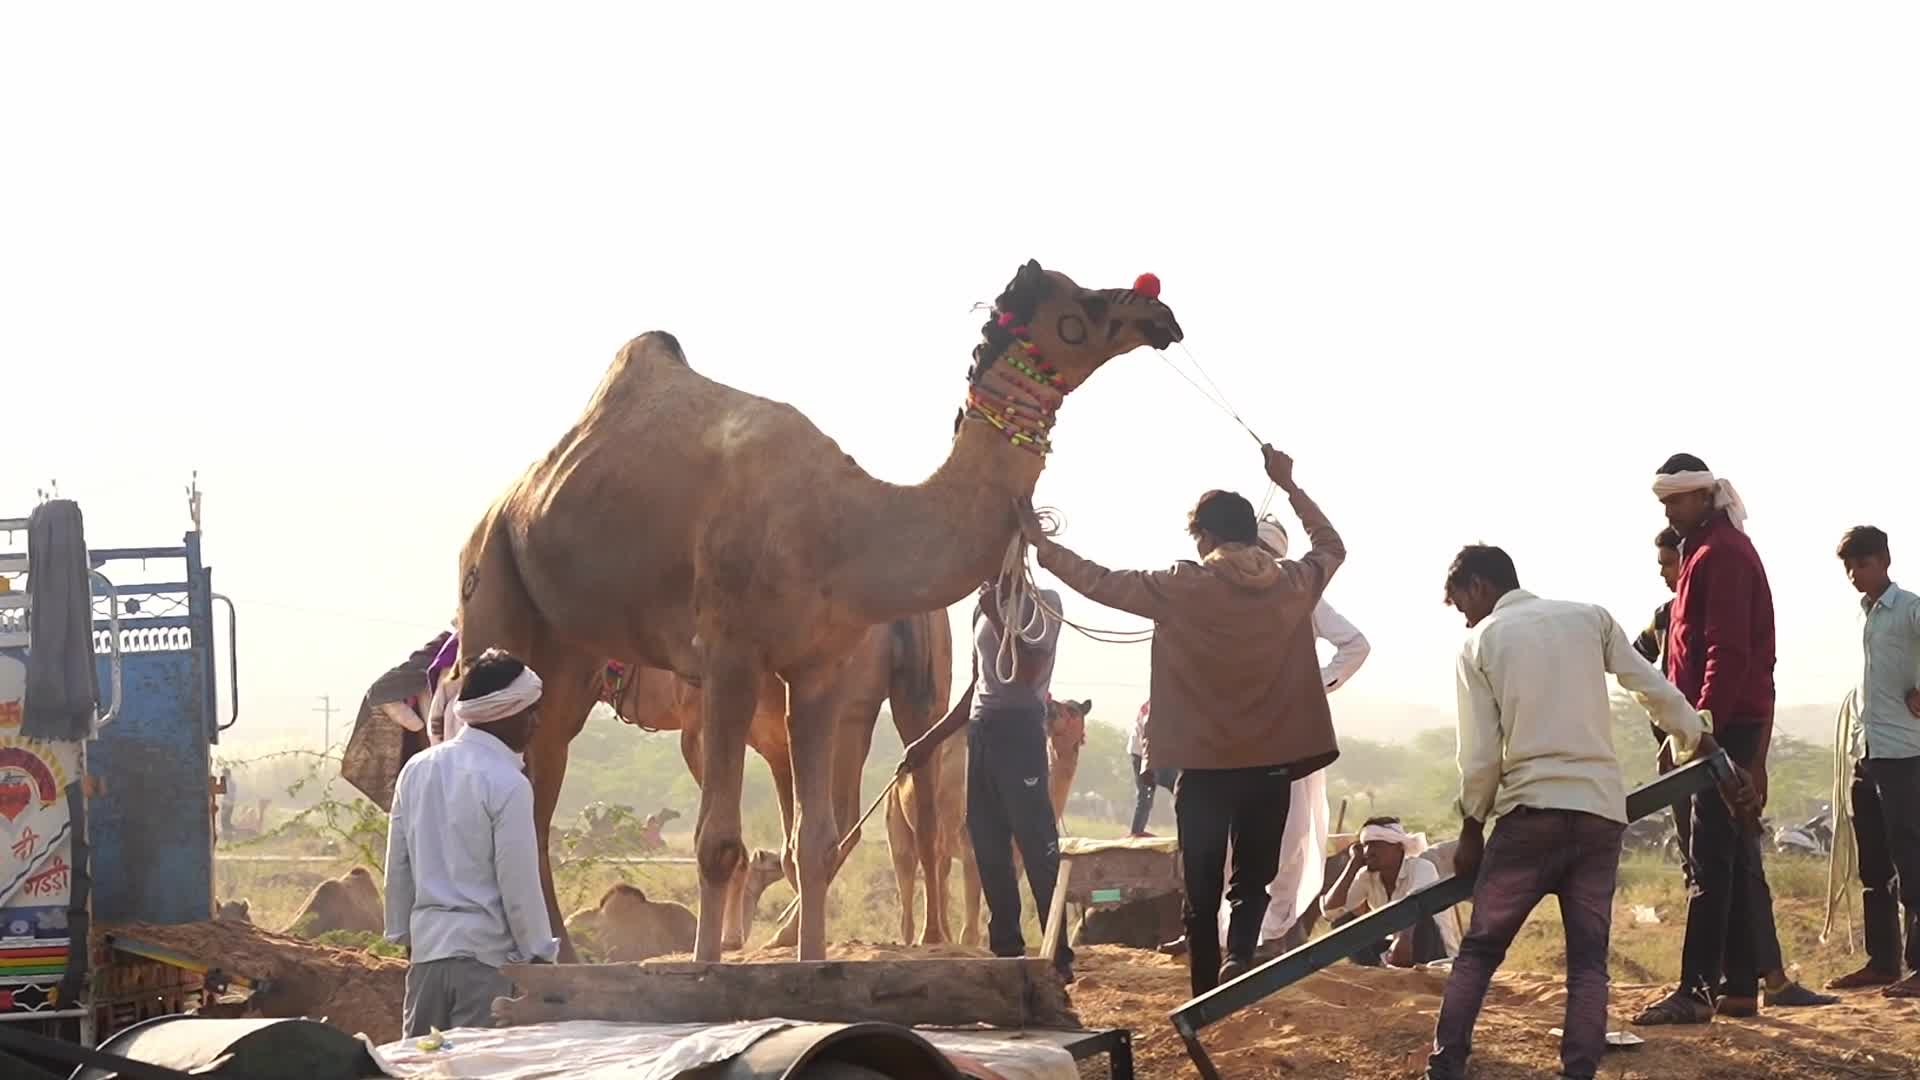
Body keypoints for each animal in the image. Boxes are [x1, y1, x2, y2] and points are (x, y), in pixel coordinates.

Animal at [455, 261, 1180, 961]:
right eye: (1084, 304)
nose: (1159, 311)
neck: (844, 527)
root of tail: (508, 504)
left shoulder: (820, 670)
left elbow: (813, 838)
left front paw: (808, 967)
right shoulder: (729, 658)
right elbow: (719, 841)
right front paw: (708, 970)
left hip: (572, 653)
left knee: (540, 785)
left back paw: (560, 959)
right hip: (490, 581)